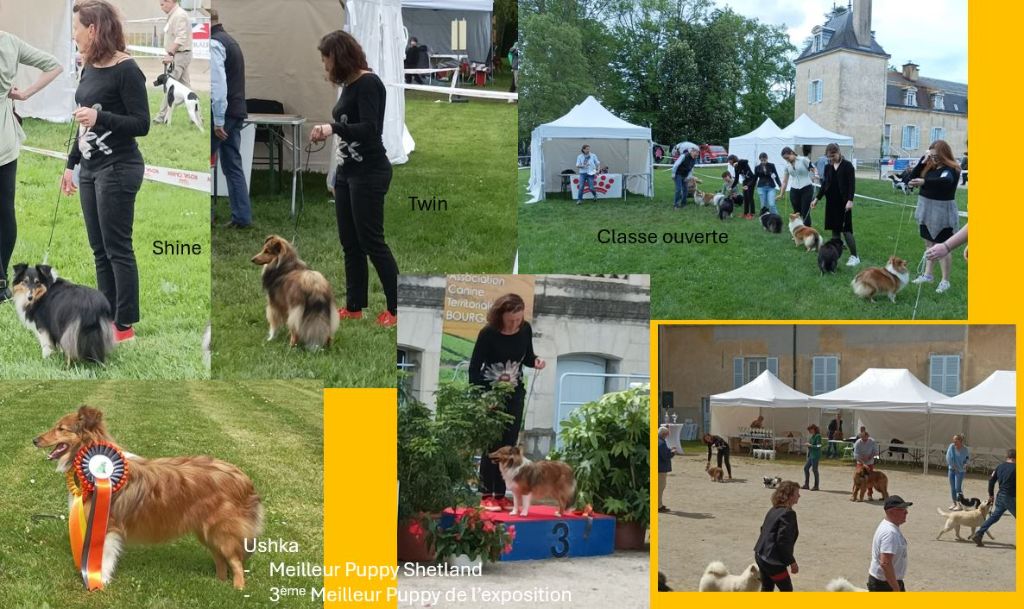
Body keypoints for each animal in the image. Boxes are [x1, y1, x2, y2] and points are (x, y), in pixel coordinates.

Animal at [34, 407, 262, 589]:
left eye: (61, 429)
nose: (34, 440)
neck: (95, 468)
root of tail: (244, 479)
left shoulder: (108, 525)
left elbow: (104, 556)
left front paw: (99, 583)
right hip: (207, 531)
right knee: (220, 558)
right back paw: (219, 583)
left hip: (222, 531)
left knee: (235, 561)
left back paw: (237, 589)